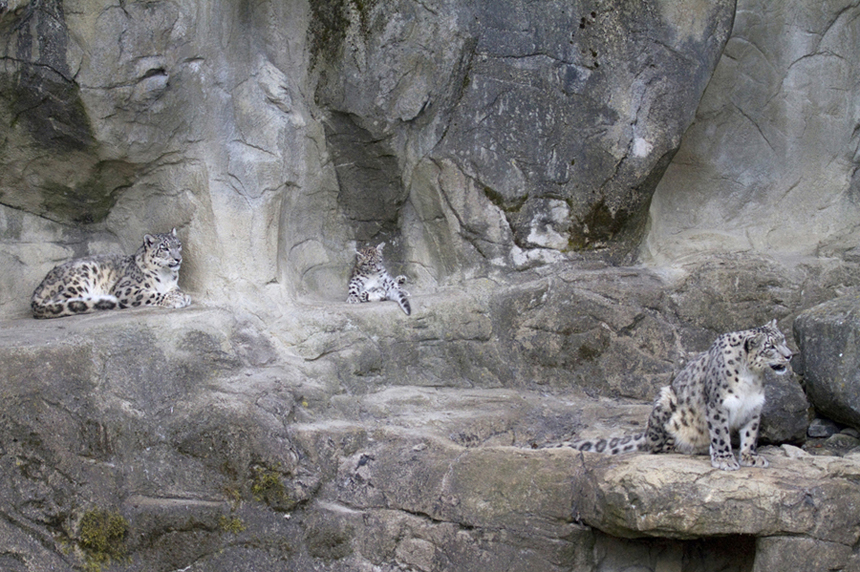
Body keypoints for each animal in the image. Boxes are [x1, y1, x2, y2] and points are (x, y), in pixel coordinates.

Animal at [32, 228, 191, 318]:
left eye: (178, 245)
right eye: (164, 248)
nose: (178, 258)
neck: (166, 275)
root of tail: (39, 287)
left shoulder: (172, 285)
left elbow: (176, 290)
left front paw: (182, 295)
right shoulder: (125, 288)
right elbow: (150, 294)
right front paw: (175, 299)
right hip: (81, 277)